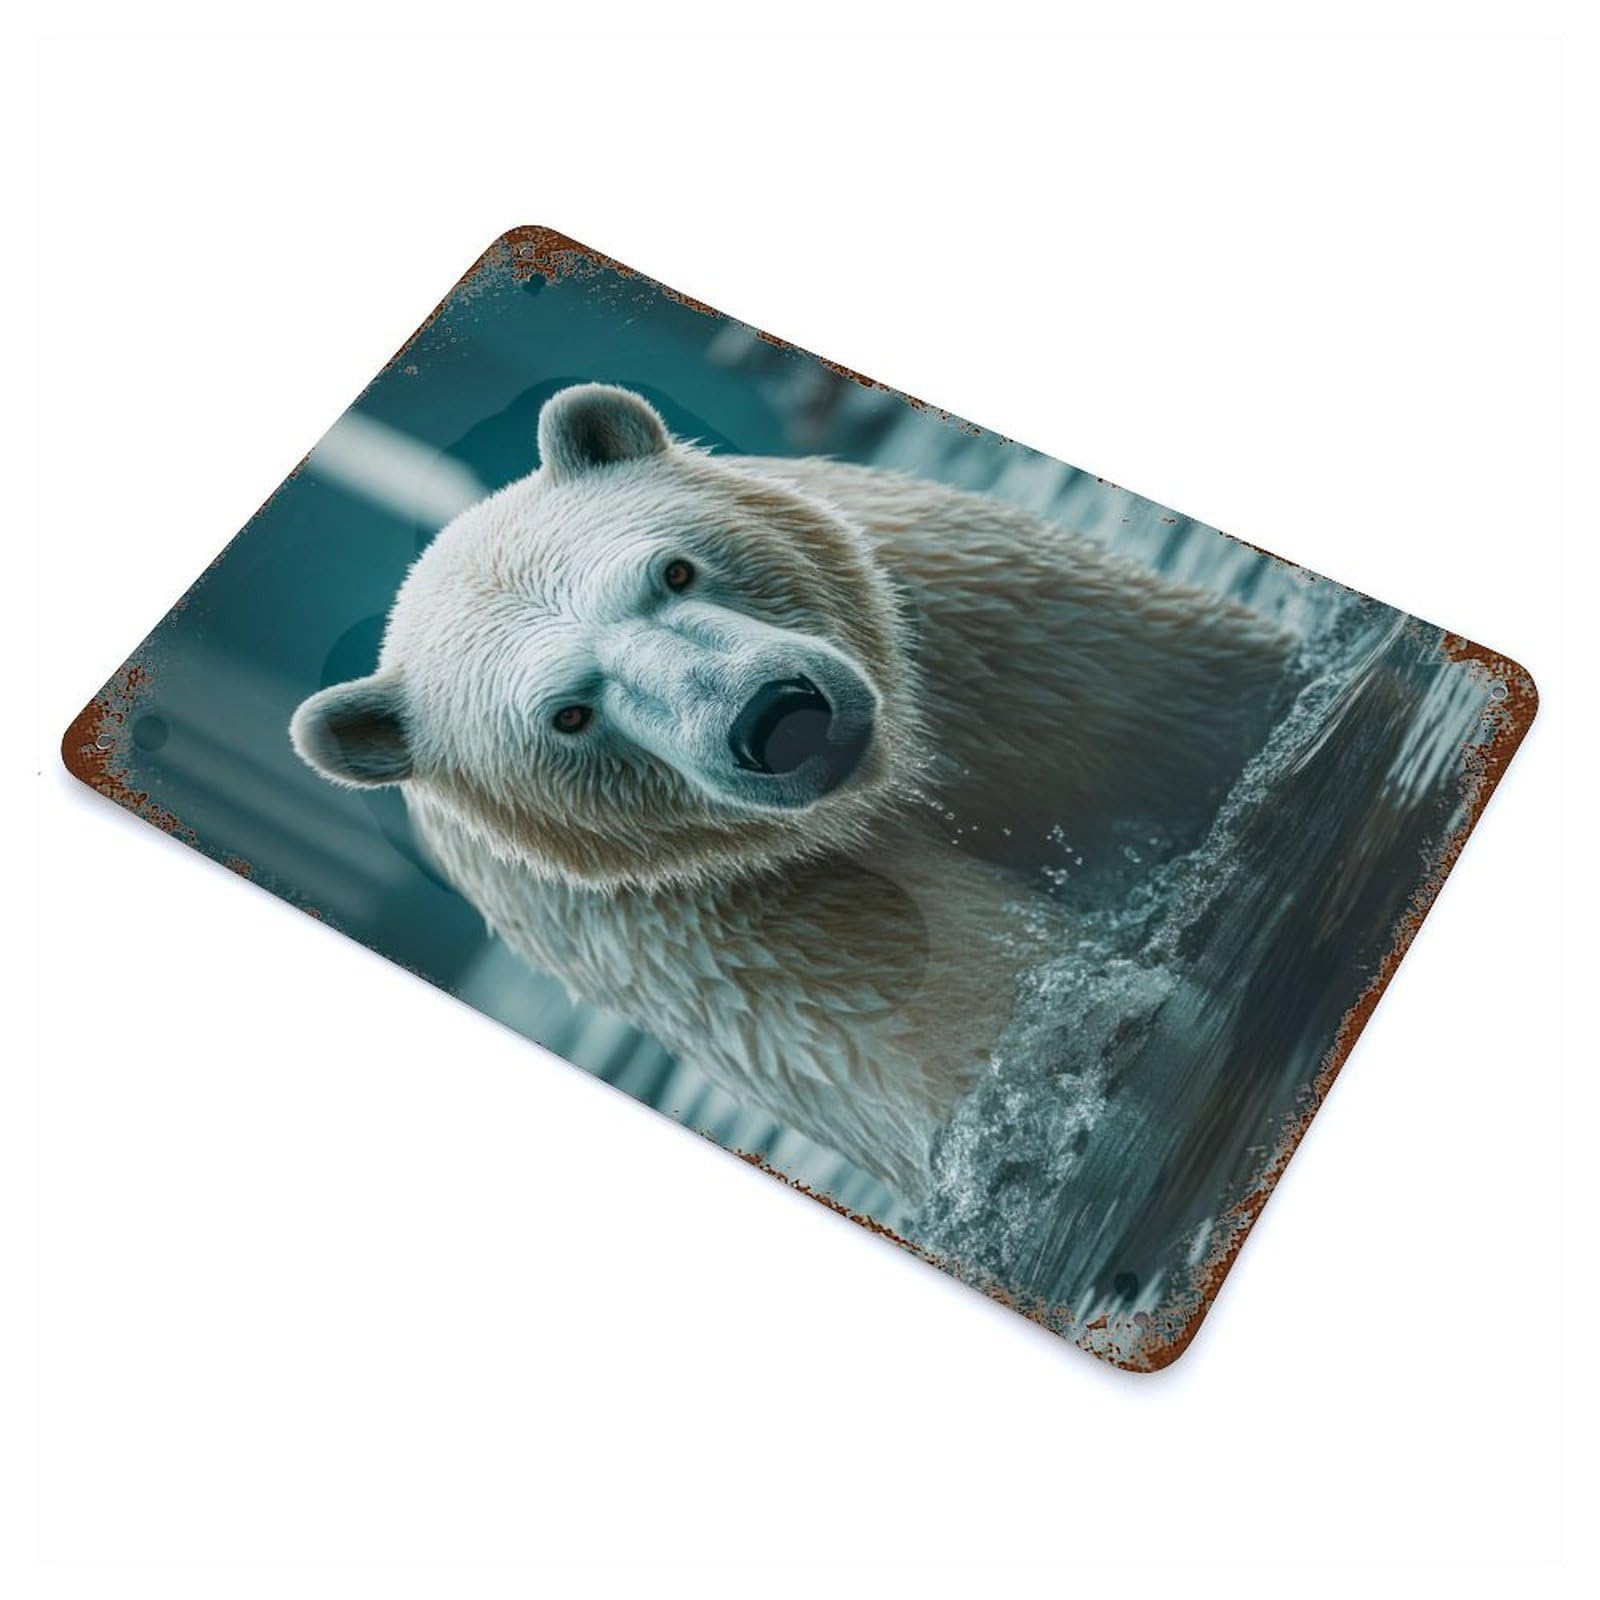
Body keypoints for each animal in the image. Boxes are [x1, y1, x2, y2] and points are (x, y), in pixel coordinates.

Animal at [291, 384, 1296, 1202]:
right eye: (569, 715)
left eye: (674, 570)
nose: (777, 717)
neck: (886, 787)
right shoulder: (716, 922)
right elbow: (978, 1024)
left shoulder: (982, 644)